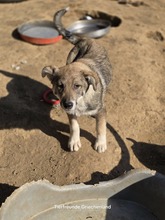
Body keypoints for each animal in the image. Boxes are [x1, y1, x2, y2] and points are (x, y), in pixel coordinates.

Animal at [41, 8, 112, 153]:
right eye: (60, 86)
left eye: (77, 86)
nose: (67, 104)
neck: (81, 100)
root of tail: (86, 38)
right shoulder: (71, 113)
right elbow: (74, 126)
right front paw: (74, 142)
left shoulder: (102, 110)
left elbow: (100, 127)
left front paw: (101, 143)